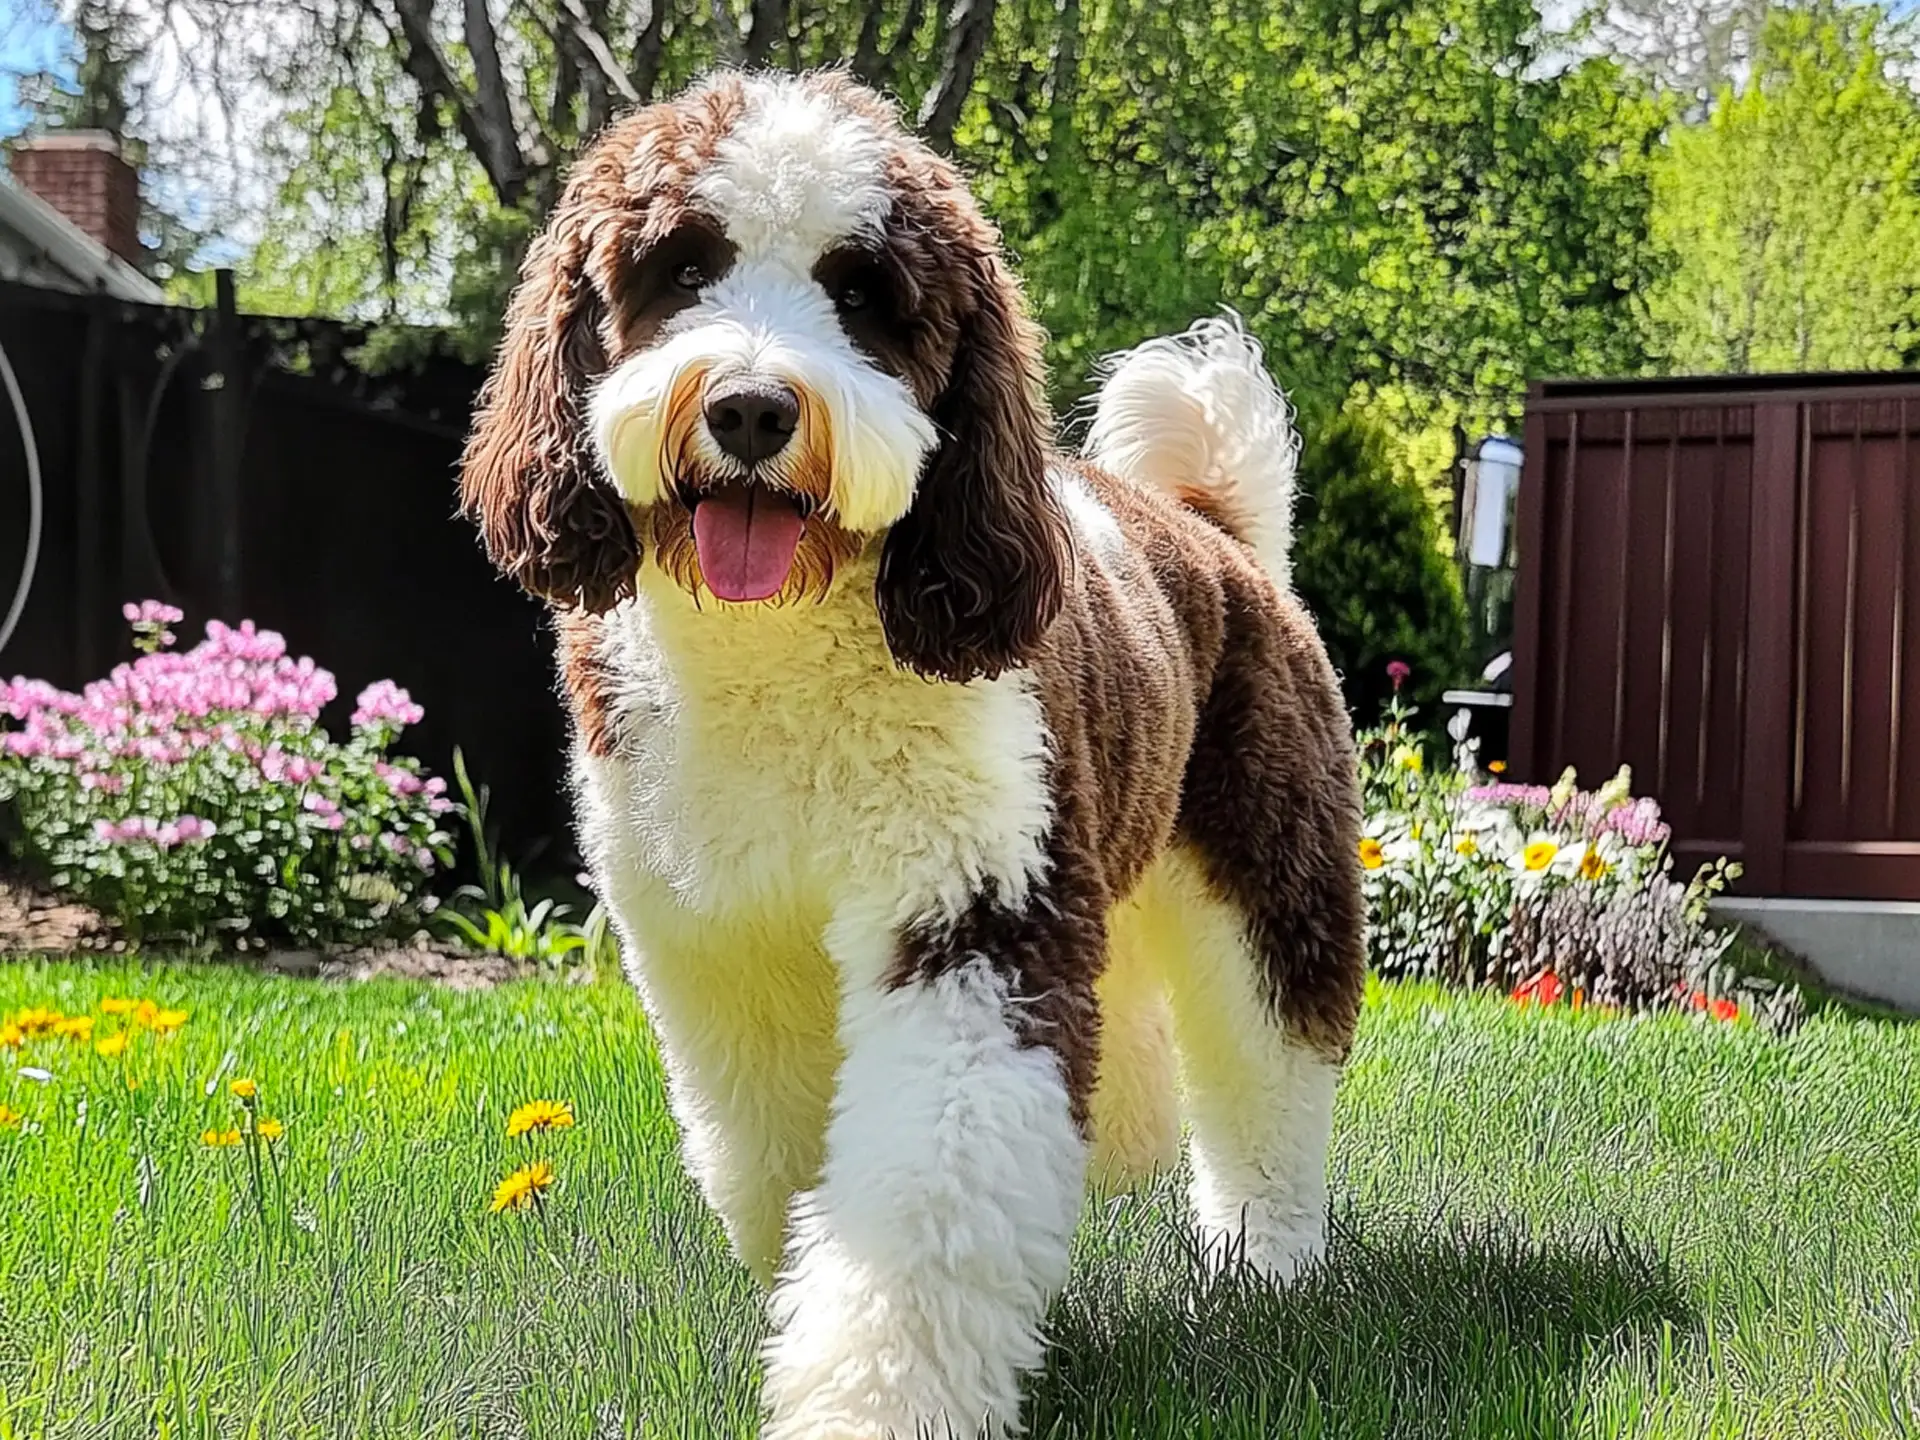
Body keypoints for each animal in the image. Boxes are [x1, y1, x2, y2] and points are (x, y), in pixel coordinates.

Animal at [462, 70, 1367, 1440]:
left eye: (865, 293)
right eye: (681, 267)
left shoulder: (975, 915)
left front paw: (874, 1399)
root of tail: (1216, 527)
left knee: (1271, 1073)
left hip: (1271, 866)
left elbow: (924, 1194)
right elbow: (776, 1150)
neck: (776, 656)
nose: (750, 407)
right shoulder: (725, 946)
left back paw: (1264, 1265)